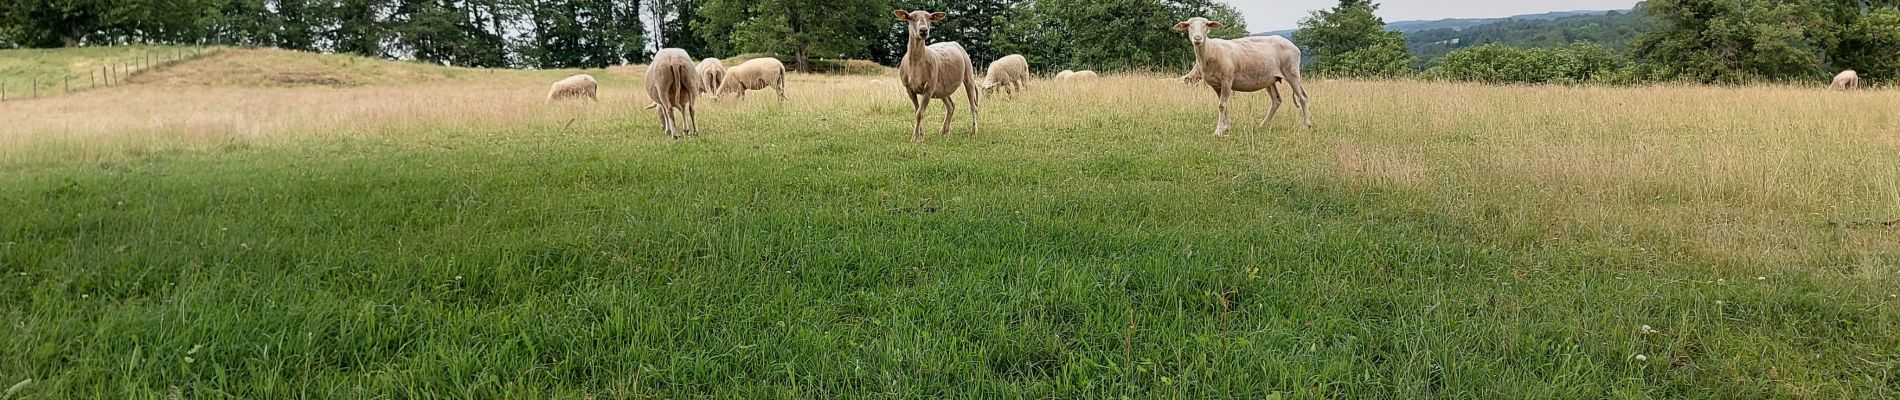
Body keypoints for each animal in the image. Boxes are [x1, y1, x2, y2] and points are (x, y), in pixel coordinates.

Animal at [893, 9, 980, 140]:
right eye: (911, 18)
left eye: (929, 18)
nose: (923, 30)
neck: (915, 65)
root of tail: (953, 43)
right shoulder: (909, 89)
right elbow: (916, 111)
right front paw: (920, 135)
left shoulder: (928, 88)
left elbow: (920, 113)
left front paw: (915, 137)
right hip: (943, 87)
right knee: (951, 106)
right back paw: (944, 131)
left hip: (968, 75)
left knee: (973, 106)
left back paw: (974, 131)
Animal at [1170, 16, 1307, 135]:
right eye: (1189, 25)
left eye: (1206, 25)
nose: (1197, 38)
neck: (1210, 51)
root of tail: (1294, 46)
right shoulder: (1216, 85)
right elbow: (1224, 105)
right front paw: (1226, 127)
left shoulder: (1227, 80)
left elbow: (1221, 105)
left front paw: (1218, 131)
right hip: (1270, 79)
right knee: (1277, 100)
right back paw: (1263, 125)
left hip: (1292, 73)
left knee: (1303, 97)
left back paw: (1307, 125)